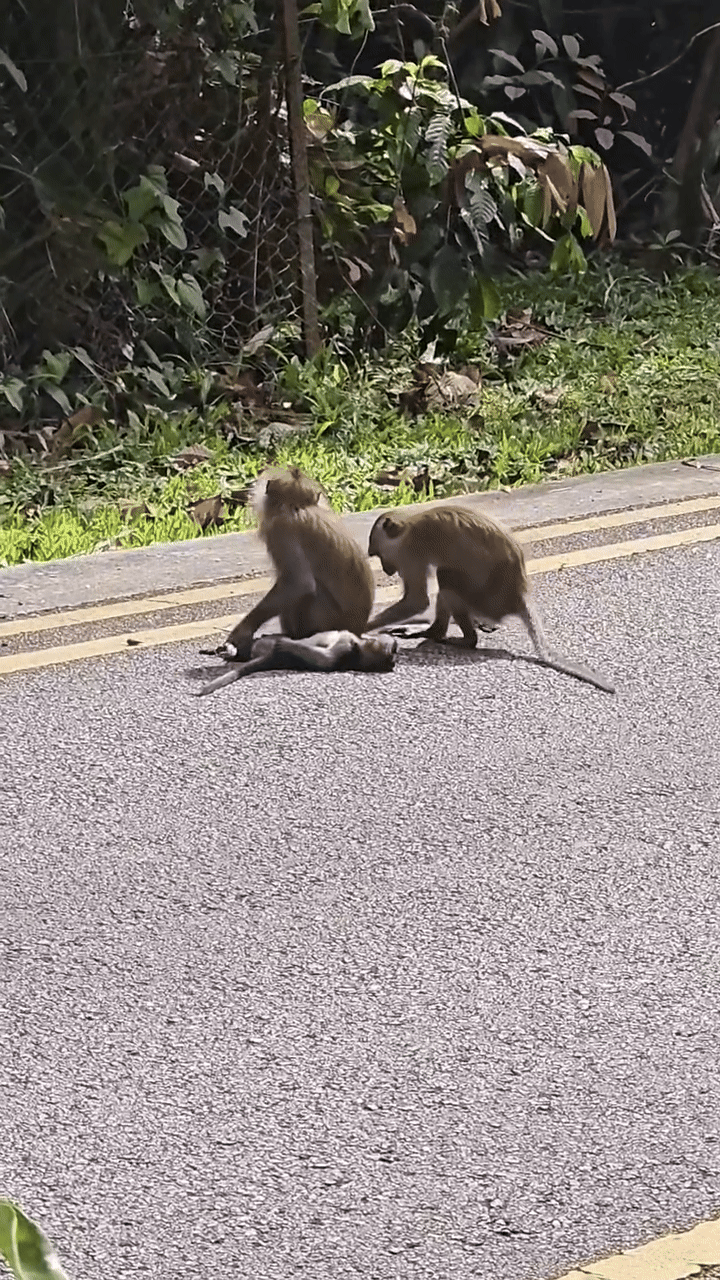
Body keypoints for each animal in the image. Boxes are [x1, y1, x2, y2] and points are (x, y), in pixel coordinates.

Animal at [223, 466, 375, 661]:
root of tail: (357, 630)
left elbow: (299, 583)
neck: (298, 507)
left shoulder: (280, 529)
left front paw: (242, 632)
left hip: (324, 619)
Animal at [367, 505, 616, 694]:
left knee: (446, 576)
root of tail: (519, 593)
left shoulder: (410, 552)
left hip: (487, 600)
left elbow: (417, 600)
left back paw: (458, 638)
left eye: (378, 555)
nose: (386, 569)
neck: (408, 526)